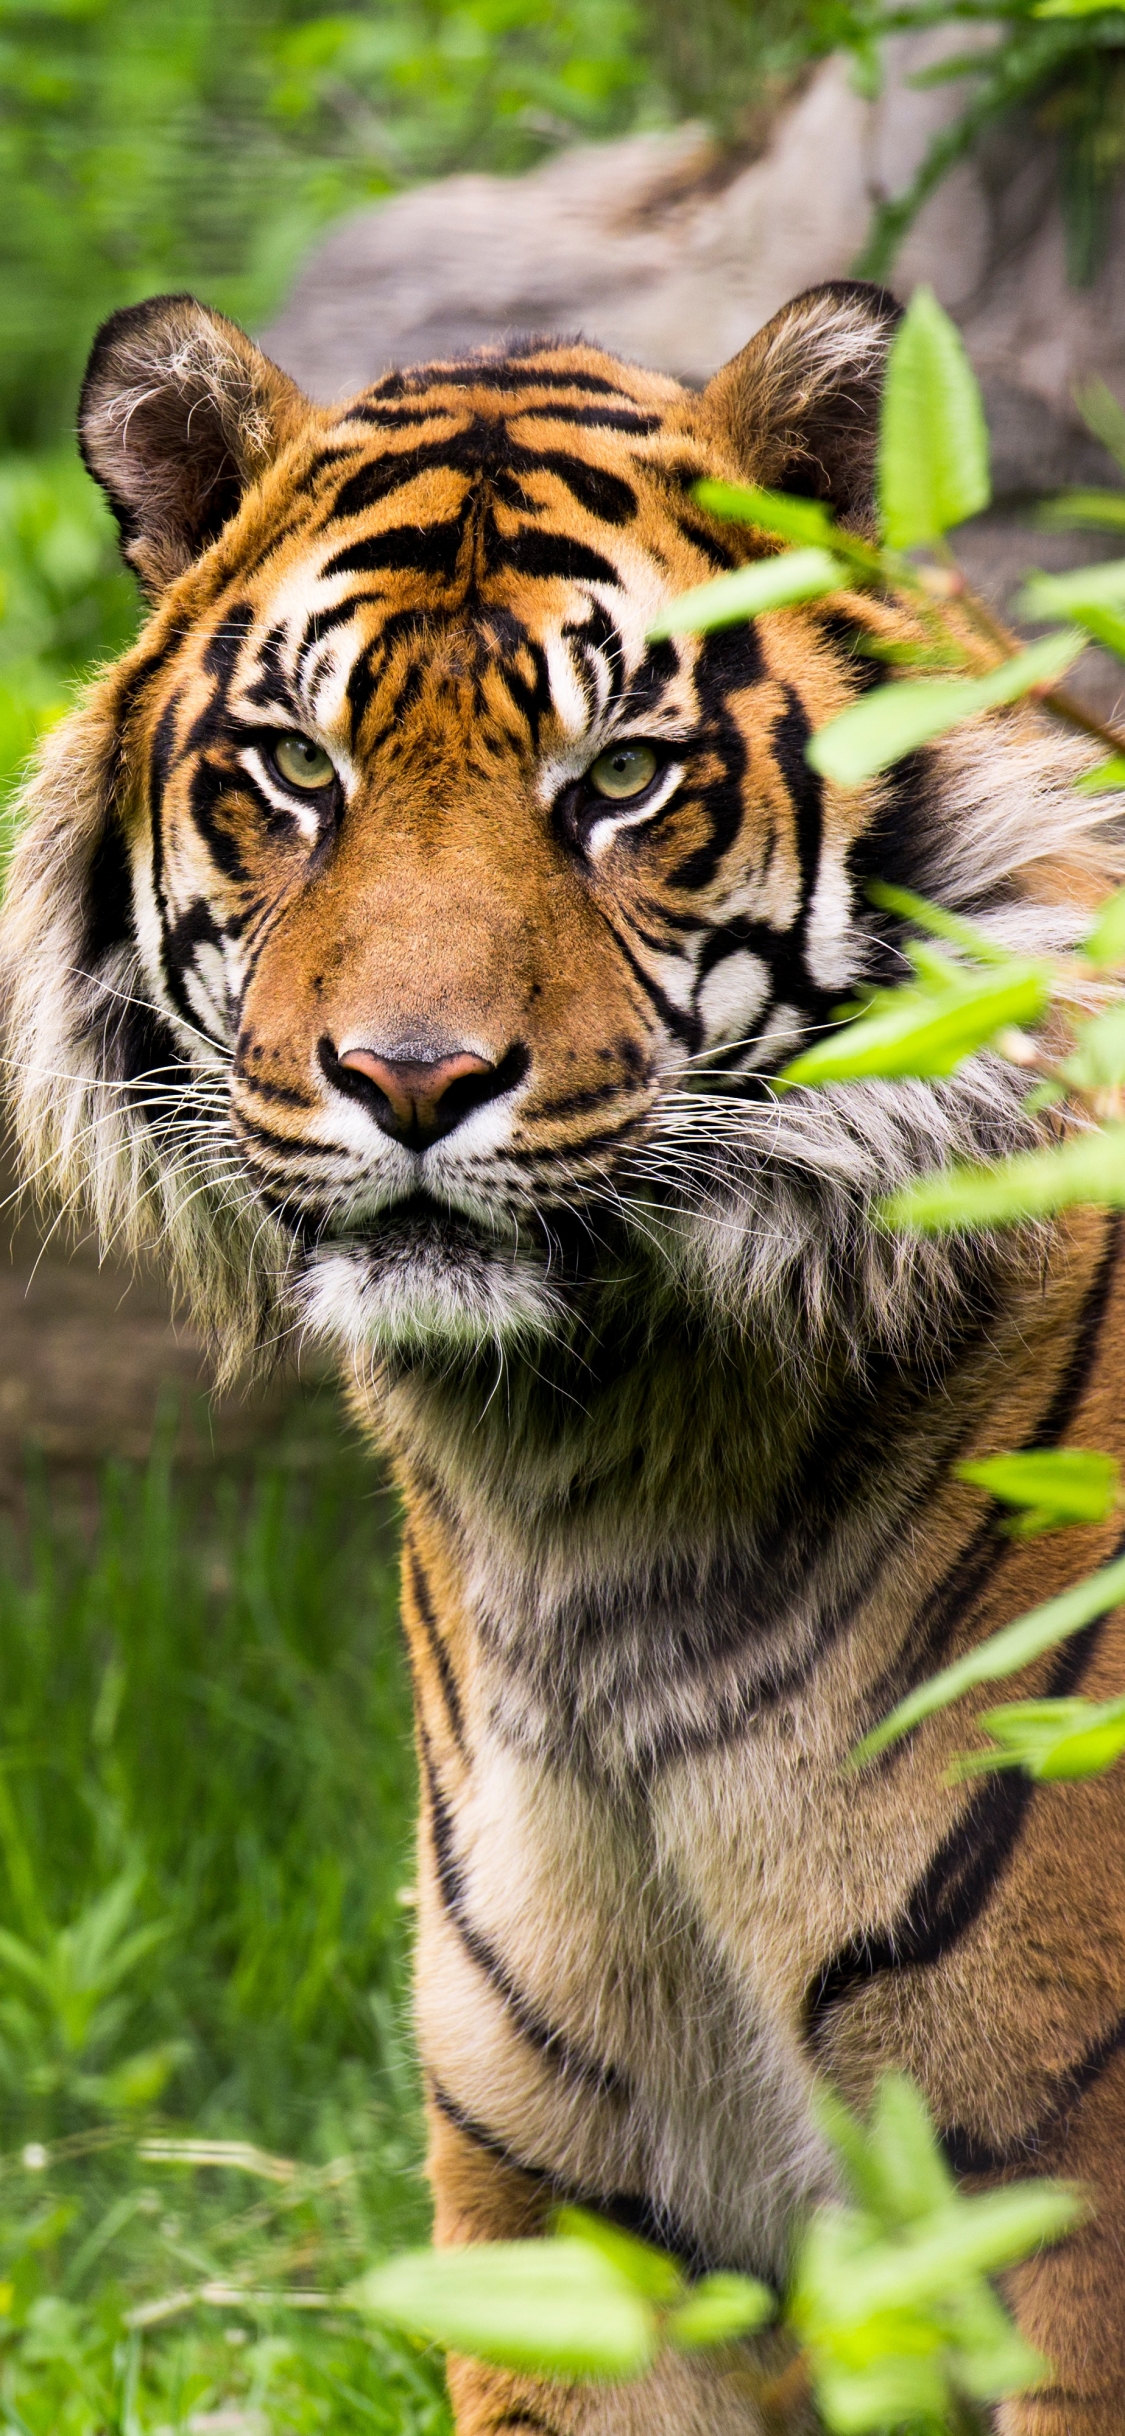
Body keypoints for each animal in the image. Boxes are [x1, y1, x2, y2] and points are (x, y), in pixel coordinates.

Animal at [2, 276, 1125, 2426]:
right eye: (295, 769)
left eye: (617, 781)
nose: (412, 1079)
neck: (599, 1498)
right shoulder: (589, 2217)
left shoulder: (1072, 2213)